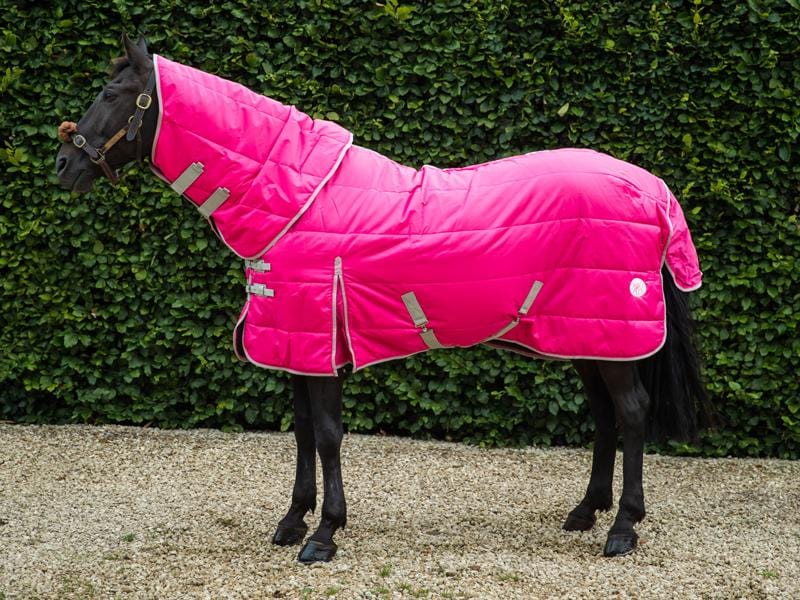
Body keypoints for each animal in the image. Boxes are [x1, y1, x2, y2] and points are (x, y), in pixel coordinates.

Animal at [56, 34, 711, 564]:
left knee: (631, 414)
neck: (295, 197)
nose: (64, 163)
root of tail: (652, 189)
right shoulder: (297, 342)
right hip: (585, 336)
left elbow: (326, 433)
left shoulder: (320, 340)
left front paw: (324, 535)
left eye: (112, 92)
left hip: (611, 335)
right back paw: (585, 513)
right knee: (605, 415)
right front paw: (293, 522)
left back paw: (622, 529)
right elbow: (301, 431)